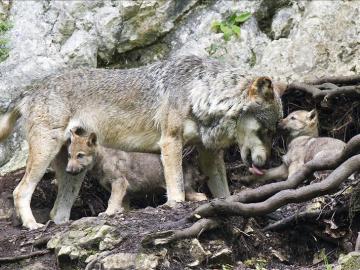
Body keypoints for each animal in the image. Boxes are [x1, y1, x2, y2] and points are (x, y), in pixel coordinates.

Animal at [0, 56, 282, 229]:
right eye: (266, 130)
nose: (266, 163)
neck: (200, 92)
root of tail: (31, 88)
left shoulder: (209, 153)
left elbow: (222, 191)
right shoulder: (170, 142)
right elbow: (176, 185)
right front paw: (175, 205)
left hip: (73, 172)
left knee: (57, 213)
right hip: (47, 153)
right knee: (20, 191)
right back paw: (32, 225)